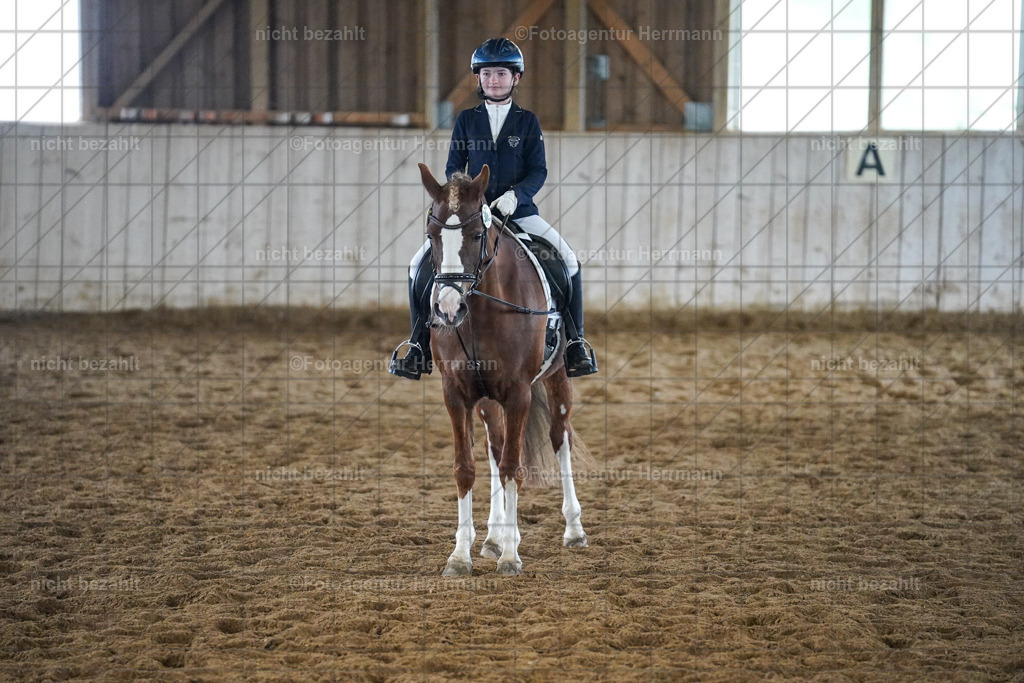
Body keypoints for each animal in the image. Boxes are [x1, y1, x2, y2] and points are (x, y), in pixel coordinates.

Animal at [416, 162, 592, 576]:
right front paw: (460, 556)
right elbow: (466, 467)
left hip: (557, 379)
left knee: (559, 438)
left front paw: (511, 558)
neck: (479, 312)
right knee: (495, 447)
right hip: (485, 400)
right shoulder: (456, 394)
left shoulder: (518, 394)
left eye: (477, 234)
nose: (448, 310)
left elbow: (514, 466)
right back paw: (494, 537)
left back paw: (572, 530)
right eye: (431, 235)